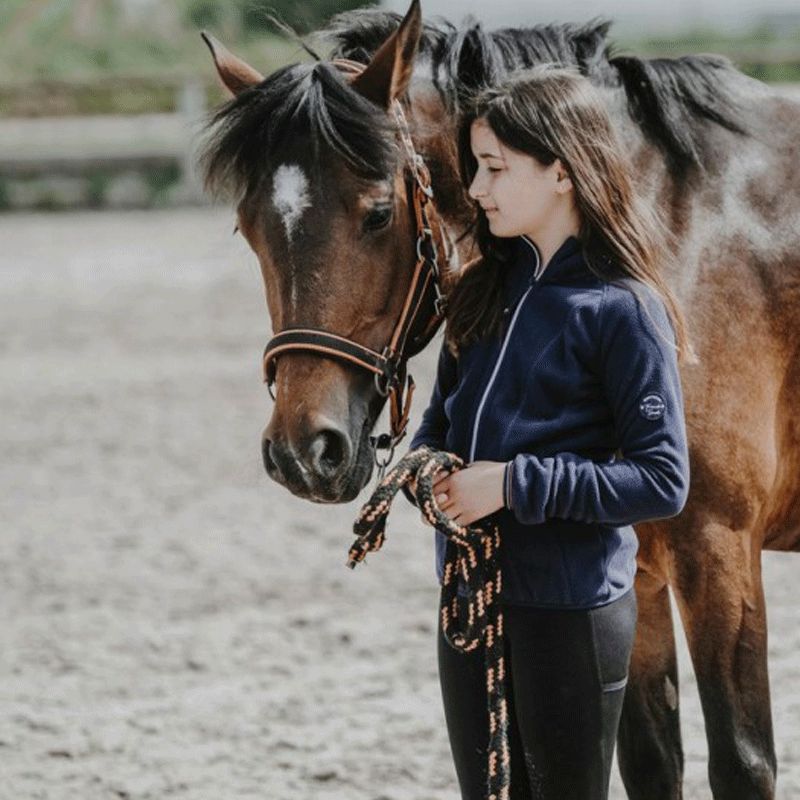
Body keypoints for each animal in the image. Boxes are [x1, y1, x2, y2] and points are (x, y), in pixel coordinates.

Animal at [198, 3, 800, 796]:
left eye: (379, 214)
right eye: (249, 226)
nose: (303, 451)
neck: (674, 239)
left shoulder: (719, 550)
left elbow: (740, 760)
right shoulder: (636, 571)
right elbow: (648, 757)